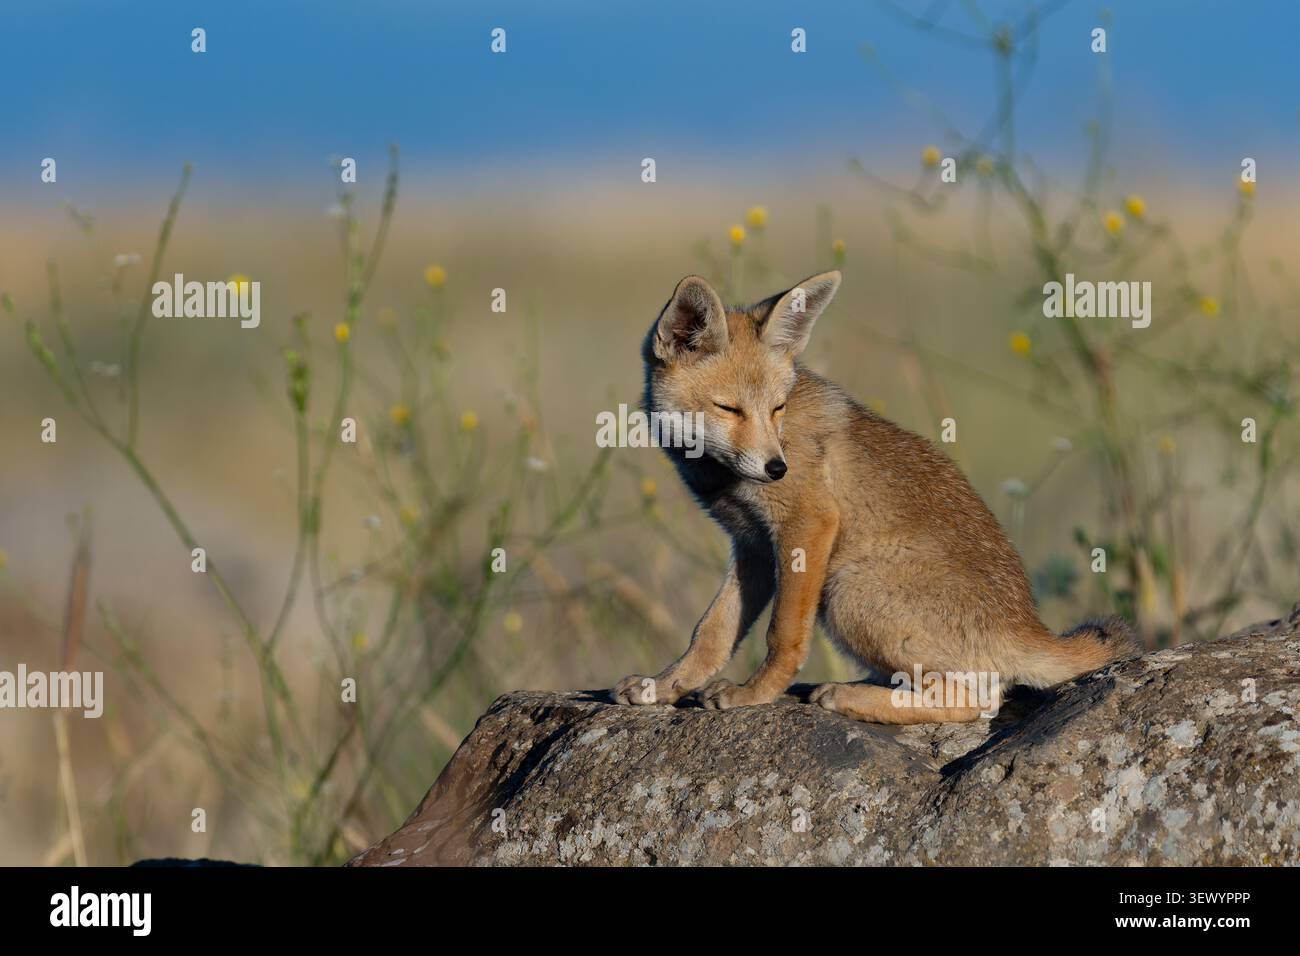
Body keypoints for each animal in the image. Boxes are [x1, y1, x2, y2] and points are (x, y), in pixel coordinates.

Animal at [612, 270, 1136, 724]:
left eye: (777, 408)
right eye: (729, 408)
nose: (777, 469)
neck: (719, 475)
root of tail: (1028, 624)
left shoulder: (807, 524)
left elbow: (783, 636)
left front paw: (754, 695)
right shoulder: (753, 546)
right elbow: (711, 633)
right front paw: (665, 686)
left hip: (845, 592)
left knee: (977, 701)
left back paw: (847, 696)